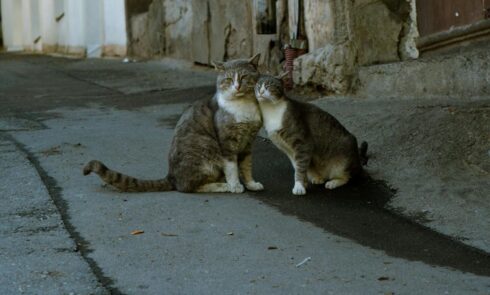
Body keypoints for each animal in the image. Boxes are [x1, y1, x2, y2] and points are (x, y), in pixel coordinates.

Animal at [85, 55, 266, 194]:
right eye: (228, 79)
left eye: (244, 77)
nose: (237, 86)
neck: (244, 106)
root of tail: (171, 176)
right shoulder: (227, 143)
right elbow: (232, 167)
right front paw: (235, 185)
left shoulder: (248, 143)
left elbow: (246, 166)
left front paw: (251, 184)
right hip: (205, 152)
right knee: (188, 187)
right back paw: (223, 186)